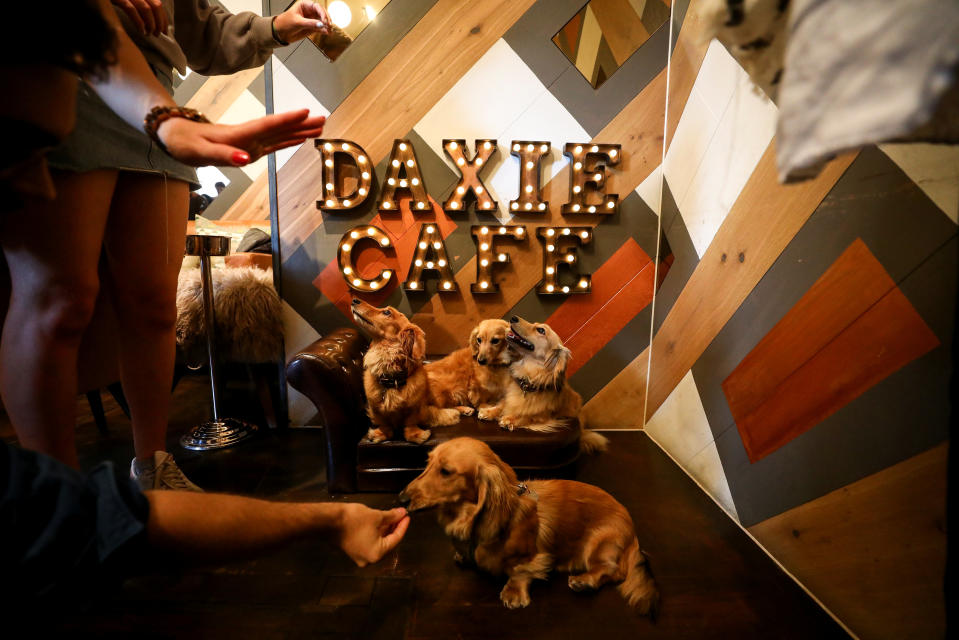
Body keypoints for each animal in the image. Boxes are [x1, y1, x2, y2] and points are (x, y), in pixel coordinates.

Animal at [350, 300, 460, 444]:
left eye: (387, 312)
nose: (354, 300)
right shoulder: (376, 408)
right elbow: (384, 423)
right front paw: (381, 433)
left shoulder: (414, 407)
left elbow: (410, 423)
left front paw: (415, 434)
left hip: (436, 396)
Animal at [400, 440, 660, 616]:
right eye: (427, 463)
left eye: (446, 471)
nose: (401, 499)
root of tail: (633, 534)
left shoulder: (534, 556)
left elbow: (521, 570)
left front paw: (514, 593)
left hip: (598, 541)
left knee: (615, 571)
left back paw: (585, 580)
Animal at [480, 318, 608, 452]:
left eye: (541, 330)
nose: (513, 318)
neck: (527, 382)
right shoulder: (508, 397)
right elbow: (502, 405)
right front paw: (489, 411)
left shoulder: (542, 416)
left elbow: (527, 416)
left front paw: (510, 419)